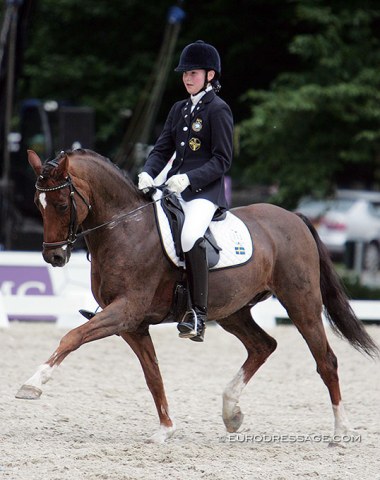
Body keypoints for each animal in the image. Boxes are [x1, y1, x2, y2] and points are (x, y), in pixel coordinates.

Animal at [17, 149, 378, 442]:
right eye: (38, 205)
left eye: (62, 204)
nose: (54, 257)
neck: (125, 230)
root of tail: (294, 217)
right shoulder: (132, 325)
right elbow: (153, 374)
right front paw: (165, 429)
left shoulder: (125, 311)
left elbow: (72, 337)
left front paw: (32, 384)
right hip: (232, 310)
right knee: (264, 345)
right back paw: (231, 413)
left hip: (300, 302)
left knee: (325, 360)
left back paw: (341, 431)